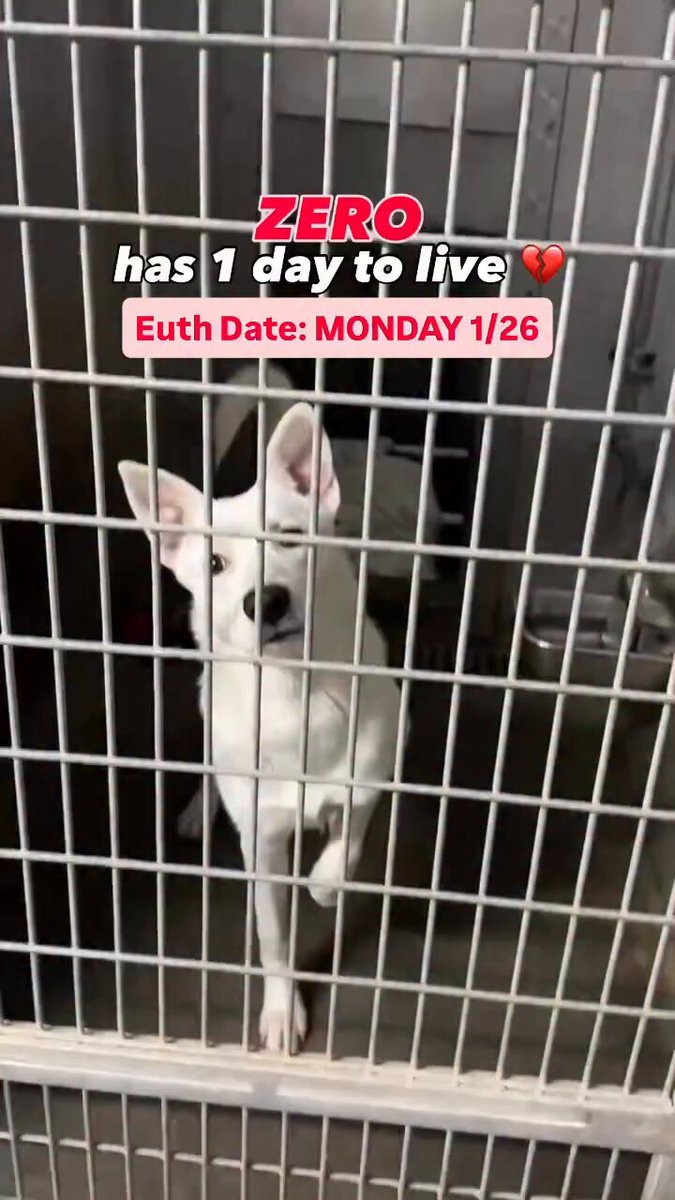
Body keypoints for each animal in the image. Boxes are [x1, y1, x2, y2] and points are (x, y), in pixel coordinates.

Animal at [118, 401, 400, 1051]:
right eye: (214, 563)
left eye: (291, 536)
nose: (265, 601)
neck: (295, 693)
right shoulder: (263, 846)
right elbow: (274, 938)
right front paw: (280, 1008)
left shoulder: (373, 775)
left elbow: (344, 848)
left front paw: (325, 879)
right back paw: (200, 808)